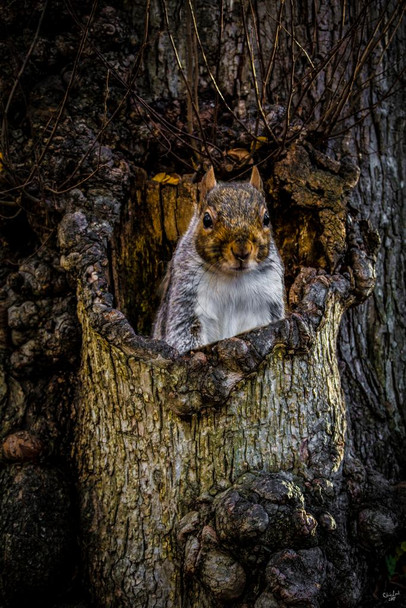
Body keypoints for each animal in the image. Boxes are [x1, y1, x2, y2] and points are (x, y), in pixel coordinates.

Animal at [152, 169, 286, 354]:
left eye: (266, 219)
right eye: (206, 219)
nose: (242, 250)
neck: (233, 278)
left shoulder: (268, 301)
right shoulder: (185, 300)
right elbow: (183, 334)